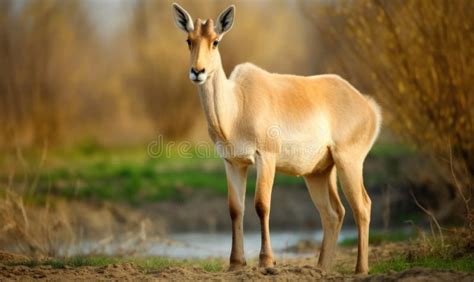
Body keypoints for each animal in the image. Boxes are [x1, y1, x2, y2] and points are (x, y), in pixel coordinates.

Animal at [170, 3, 382, 274]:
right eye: (189, 40)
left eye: (215, 41)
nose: (198, 71)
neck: (238, 104)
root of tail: (368, 106)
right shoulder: (233, 163)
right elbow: (235, 208)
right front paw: (236, 263)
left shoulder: (266, 158)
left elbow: (262, 204)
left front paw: (266, 261)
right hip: (318, 173)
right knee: (333, 212)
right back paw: (321, 268)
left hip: (349, 163)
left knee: (362, 206)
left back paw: (360, 269)